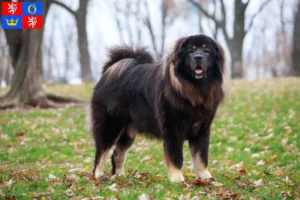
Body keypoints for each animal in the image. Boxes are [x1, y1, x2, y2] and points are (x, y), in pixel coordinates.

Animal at [88, 34, 225, 183]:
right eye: (191, 51)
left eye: (207, 51)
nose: (198, 57)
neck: (195, 90)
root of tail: (109, 71)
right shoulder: (173, 130)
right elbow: (176, 157)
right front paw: (177, 178)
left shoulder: (202, 130)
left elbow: (201, 158)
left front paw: (206, 177)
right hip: (110, 126)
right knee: (101, 152)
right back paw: (98, 175)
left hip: (129, 131)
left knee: (117, 152)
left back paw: (120, 175)